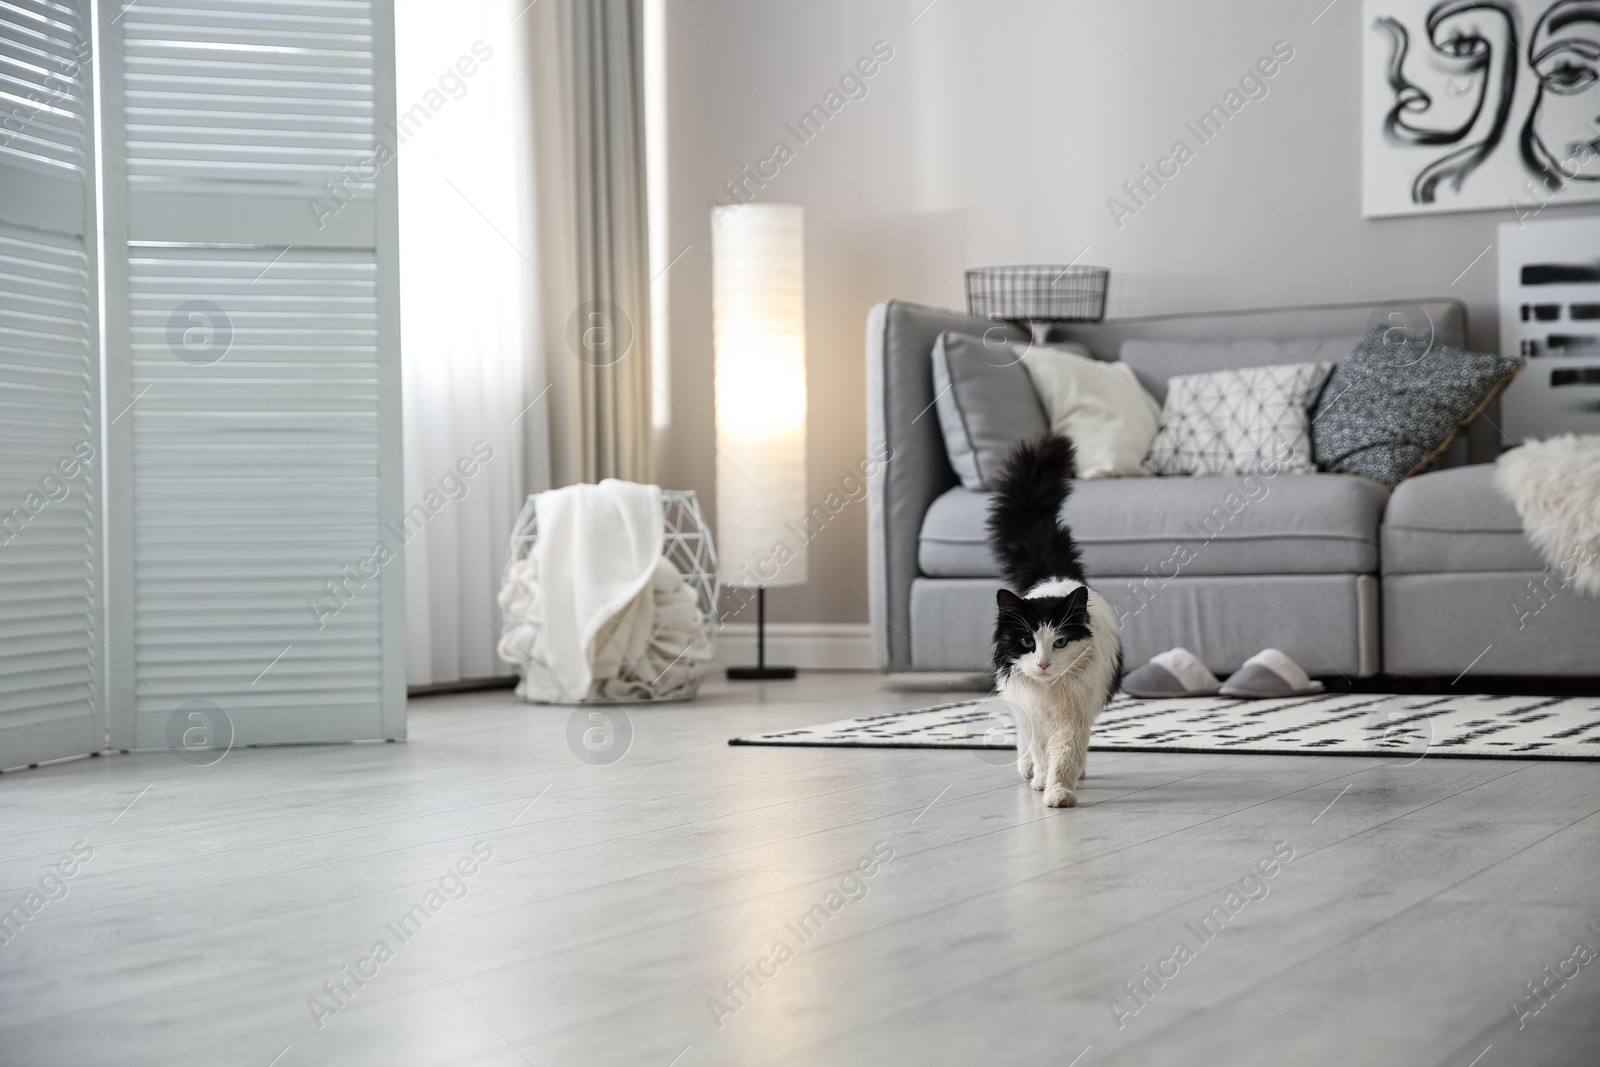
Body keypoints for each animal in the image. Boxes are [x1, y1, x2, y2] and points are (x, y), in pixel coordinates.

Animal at [985, 435, 1126, 809]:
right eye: (1026, 642)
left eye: (1060, 642)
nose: (1044, 663)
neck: (1050, 691)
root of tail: (1055, 575)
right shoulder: (1033, 712)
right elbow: (1042, 750)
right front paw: (1043, 781)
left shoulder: (1074, 715)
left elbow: (1064, 754)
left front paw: (1059, 792)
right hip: (1019, 703)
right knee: (1024, 739)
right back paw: (1029, 772)